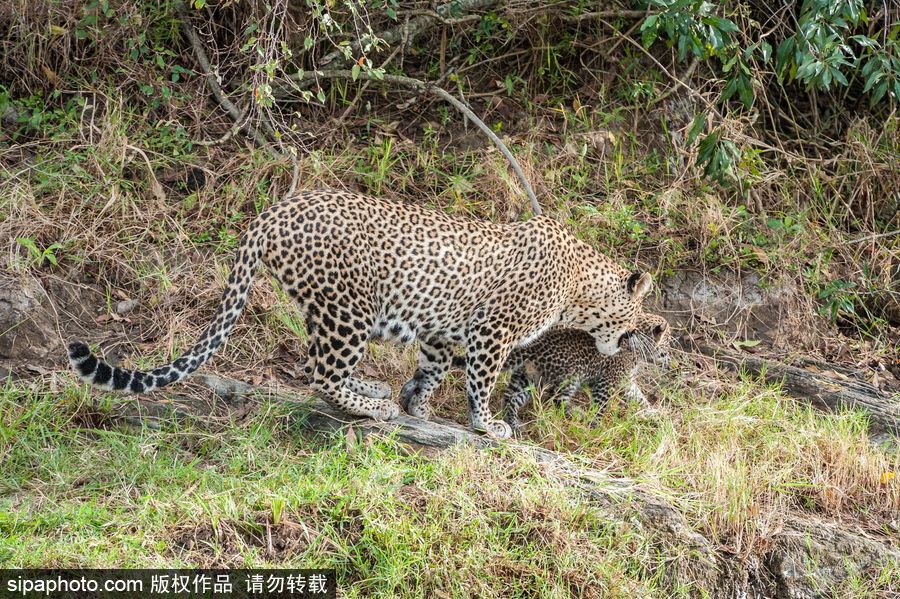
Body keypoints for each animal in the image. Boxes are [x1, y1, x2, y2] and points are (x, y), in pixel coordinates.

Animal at [67, 190, 652, 438]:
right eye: (634, 321)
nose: (624, 343)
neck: (579, 286)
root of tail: (271, 212)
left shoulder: (442, 330)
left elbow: (431, 370)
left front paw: (420, 407)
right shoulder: (493, 332)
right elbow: (480, 382)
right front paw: (487, 425)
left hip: (331, 310)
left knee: (322, 368)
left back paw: (375, 393)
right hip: (349, 307)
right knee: (320, 373)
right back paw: (376, 407)